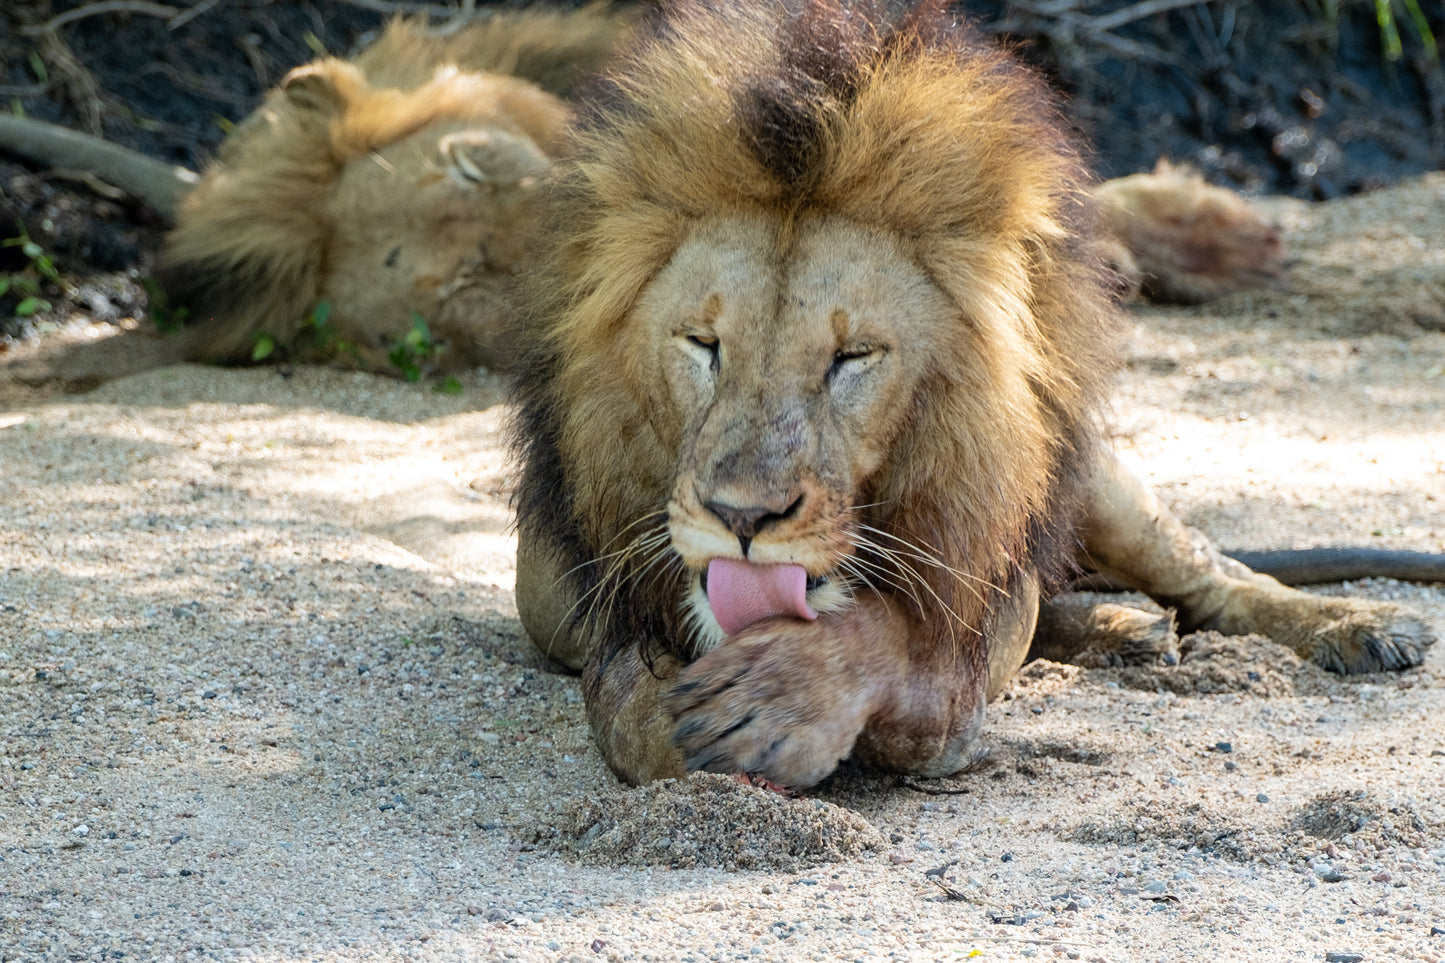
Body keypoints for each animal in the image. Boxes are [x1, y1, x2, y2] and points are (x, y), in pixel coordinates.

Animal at [508, 0, 1433, 786]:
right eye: (703, 345)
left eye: (852, 357)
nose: (741, 517)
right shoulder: (595, 603)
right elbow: (630, 711)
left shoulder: (952, 674)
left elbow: (901, 659)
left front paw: (781, 700)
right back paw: (1126, 631)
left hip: (1099, 483)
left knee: (1213, 574)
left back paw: (1360, 626)